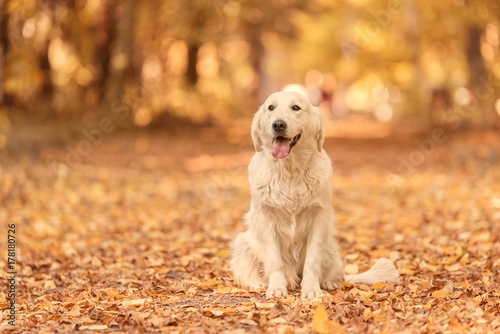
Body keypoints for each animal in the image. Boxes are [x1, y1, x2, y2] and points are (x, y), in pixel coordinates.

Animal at [230, 90, 398, 298]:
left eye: (296, 107)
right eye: (271, 107)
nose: (278, 124)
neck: (290, 172)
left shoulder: (319, 217)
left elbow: (312, 260)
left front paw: (311, 289)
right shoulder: (265, 218)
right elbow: (275, 261)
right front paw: (277, 287)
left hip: (330, 245)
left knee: (335, 273)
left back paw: (329, 282)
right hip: (243, 242)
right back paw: (268, 283)